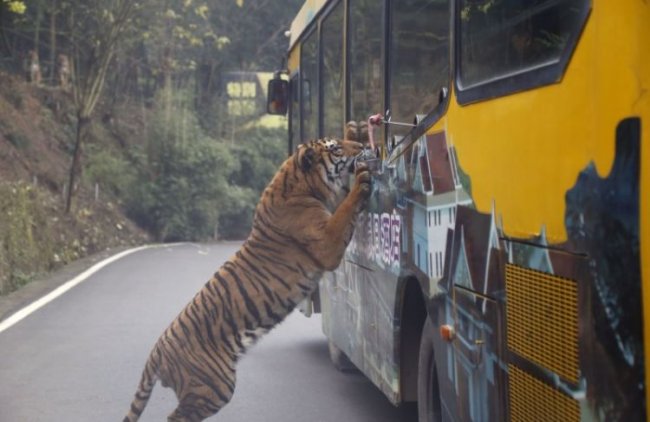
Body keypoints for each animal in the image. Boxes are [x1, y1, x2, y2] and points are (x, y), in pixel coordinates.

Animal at [123, 137, 370, 420]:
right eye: (336, 147)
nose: (362, 144)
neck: (300, 183)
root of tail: (157, 351)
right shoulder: (327, 243)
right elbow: (346, 209)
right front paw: (363, 178)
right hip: (215, 387)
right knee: (176, 416)